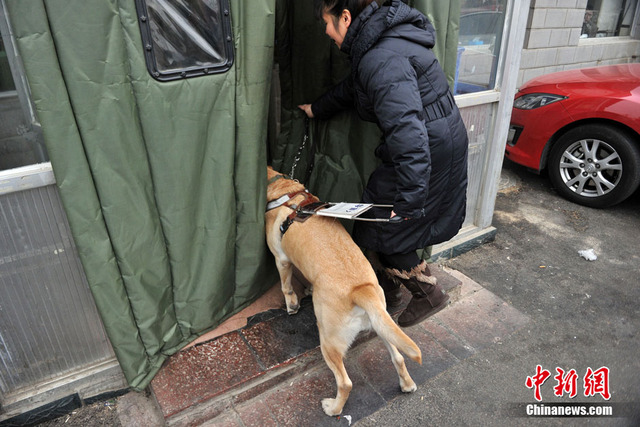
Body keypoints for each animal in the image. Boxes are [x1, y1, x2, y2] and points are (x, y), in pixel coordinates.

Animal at [262, 167, 422, 418]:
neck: (287, 193)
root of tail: (361, 291)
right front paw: (307, 288)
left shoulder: (282, 259)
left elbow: (286, 286)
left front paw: (292, 305)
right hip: (382, 324)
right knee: (397, 357)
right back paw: (407, 385)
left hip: (329, 340)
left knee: (345, 383)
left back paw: (333, 408)